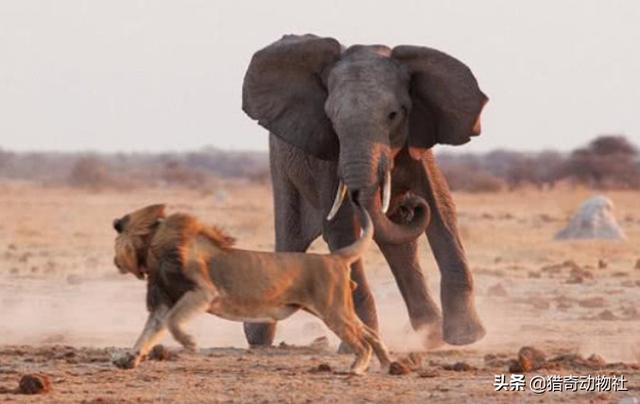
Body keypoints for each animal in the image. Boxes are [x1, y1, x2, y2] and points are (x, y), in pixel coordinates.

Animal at [112, 204, 392, 374]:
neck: (153, 250)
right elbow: (150, 330)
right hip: (338, 308)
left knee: (361, 338)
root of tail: (333, 257)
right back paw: (389, 364)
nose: (114, 261)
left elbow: (172, 322)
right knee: (369, 332)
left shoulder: (203, 292)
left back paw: (358, 367)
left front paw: (189, 342)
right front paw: (130, 358)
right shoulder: (164, 299)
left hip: (333, 310)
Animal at [242, 34, 488, 348]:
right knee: (290, 238)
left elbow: (441, 208)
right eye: (331, 119)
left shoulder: (419, 139)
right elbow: (341, 228)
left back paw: (429, 336)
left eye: (394, 114)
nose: (411, 205)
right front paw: (360, 345)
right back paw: (256, 337)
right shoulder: (328, 156)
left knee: (399, 245)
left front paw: (467, 338)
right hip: (281, 168)